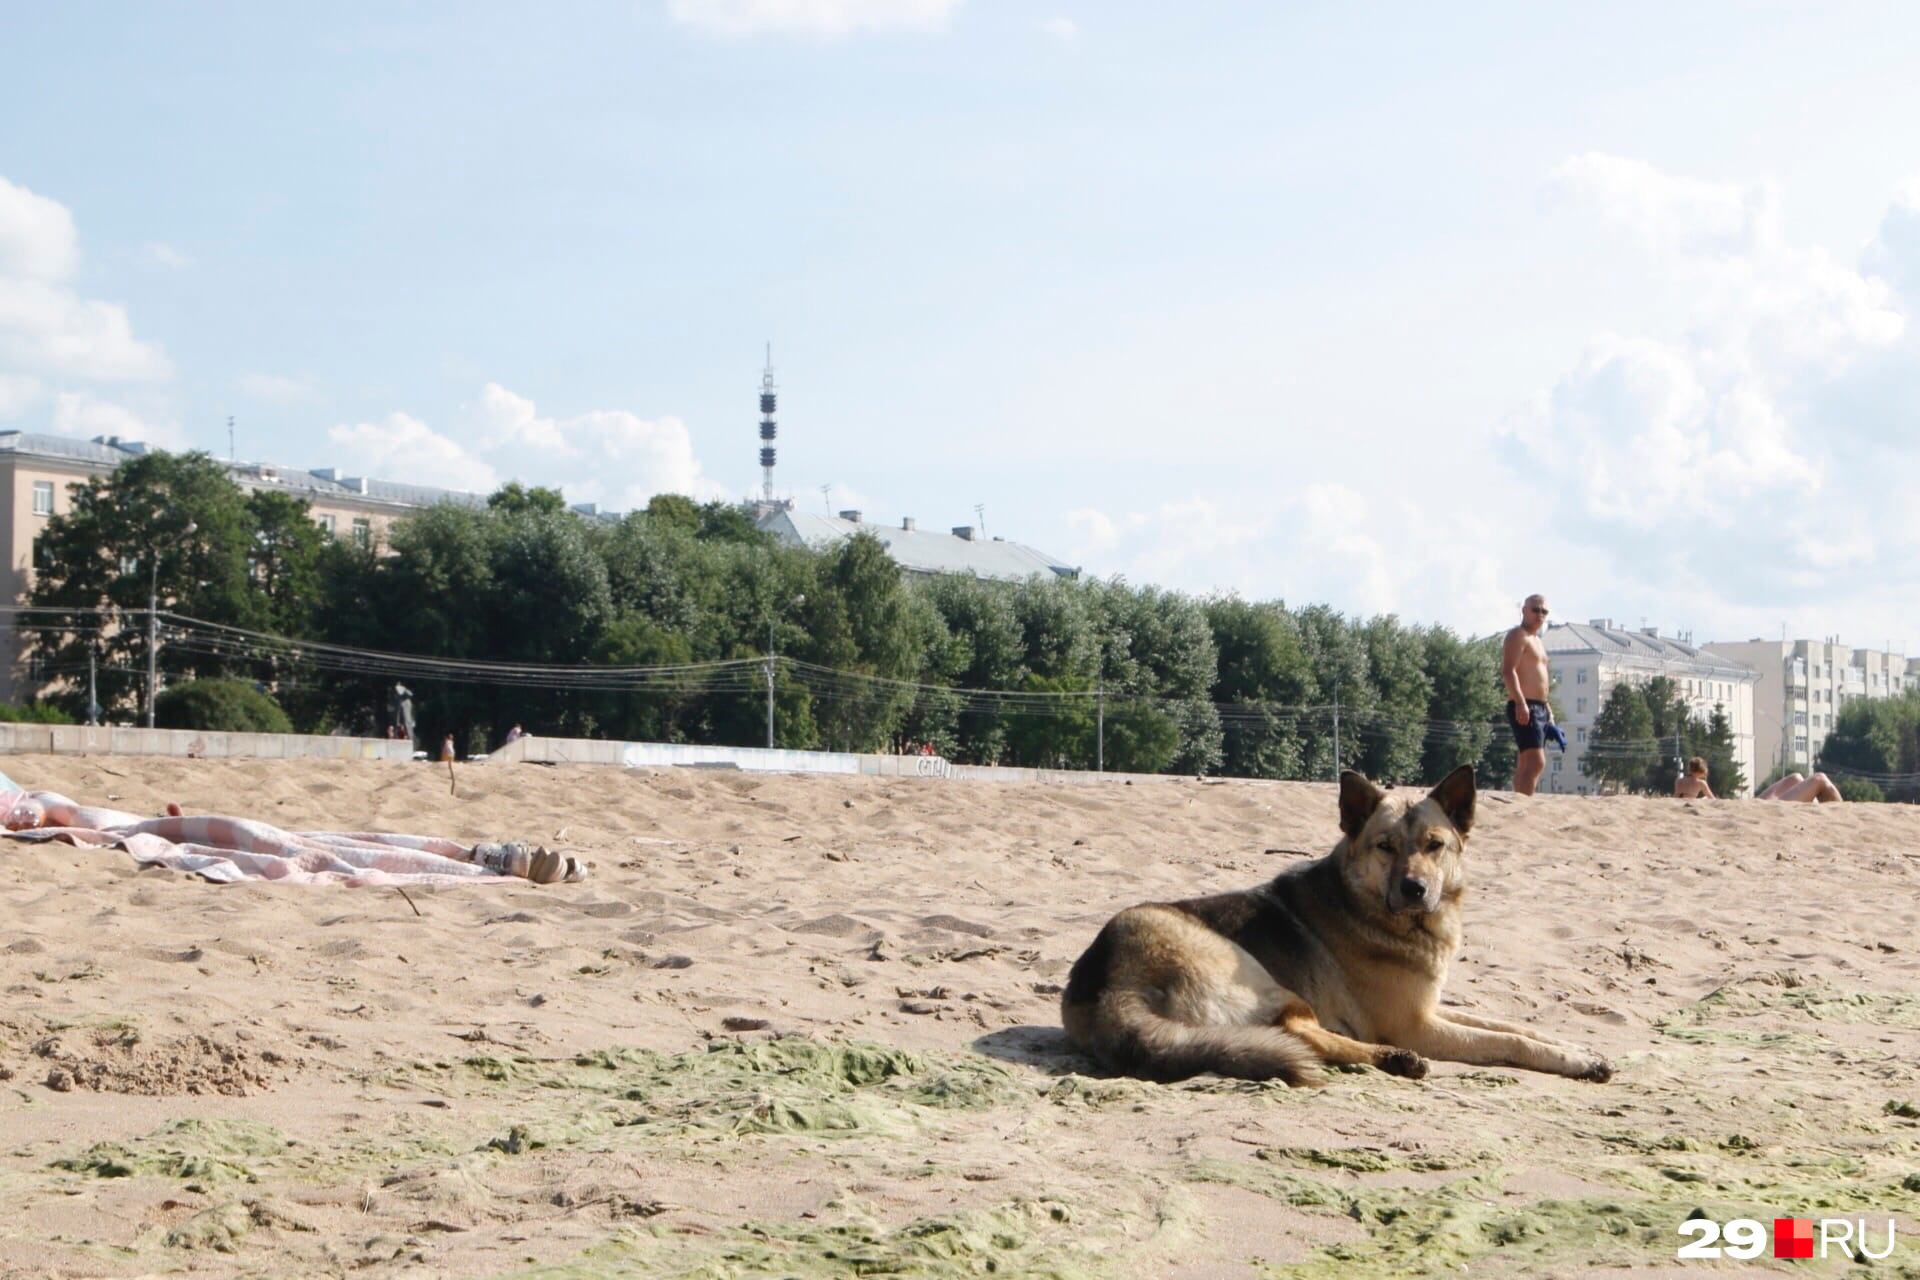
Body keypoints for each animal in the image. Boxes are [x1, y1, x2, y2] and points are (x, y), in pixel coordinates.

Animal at [1059, 767, 1612, 1090]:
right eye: (1386, 846)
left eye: (1434, 845)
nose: (1414, 889)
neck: (1371, 910)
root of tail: (1104, 982)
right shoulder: (1419, 1024)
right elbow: (1511, 1043)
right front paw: (1571, 1060)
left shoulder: (1433, 1007)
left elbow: (1514, 1025)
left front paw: (1577, 1050)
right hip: (1258, 976)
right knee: (1300, 1035)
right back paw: (1393, 1059)